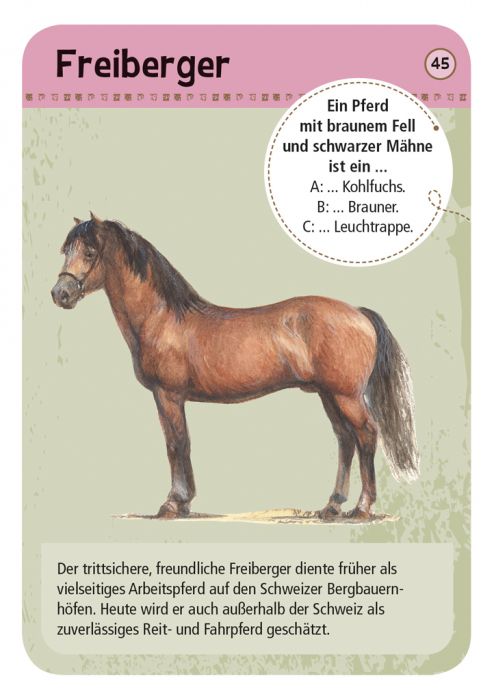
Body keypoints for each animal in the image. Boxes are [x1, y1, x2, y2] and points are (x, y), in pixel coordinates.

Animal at [51, 213, 419, 520]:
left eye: (90, 252)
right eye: (66, 250)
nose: (60, 293)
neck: (163, 317)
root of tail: (358, 312)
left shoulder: (168, 395)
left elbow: (176, 444)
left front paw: (174, 503)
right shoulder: (166, 397)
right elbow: (178, 444)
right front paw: (183, 503)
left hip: (346, 395)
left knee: (366, 434)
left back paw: (361, 508)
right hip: (327, 394)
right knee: (345, 439)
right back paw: (331, 506)